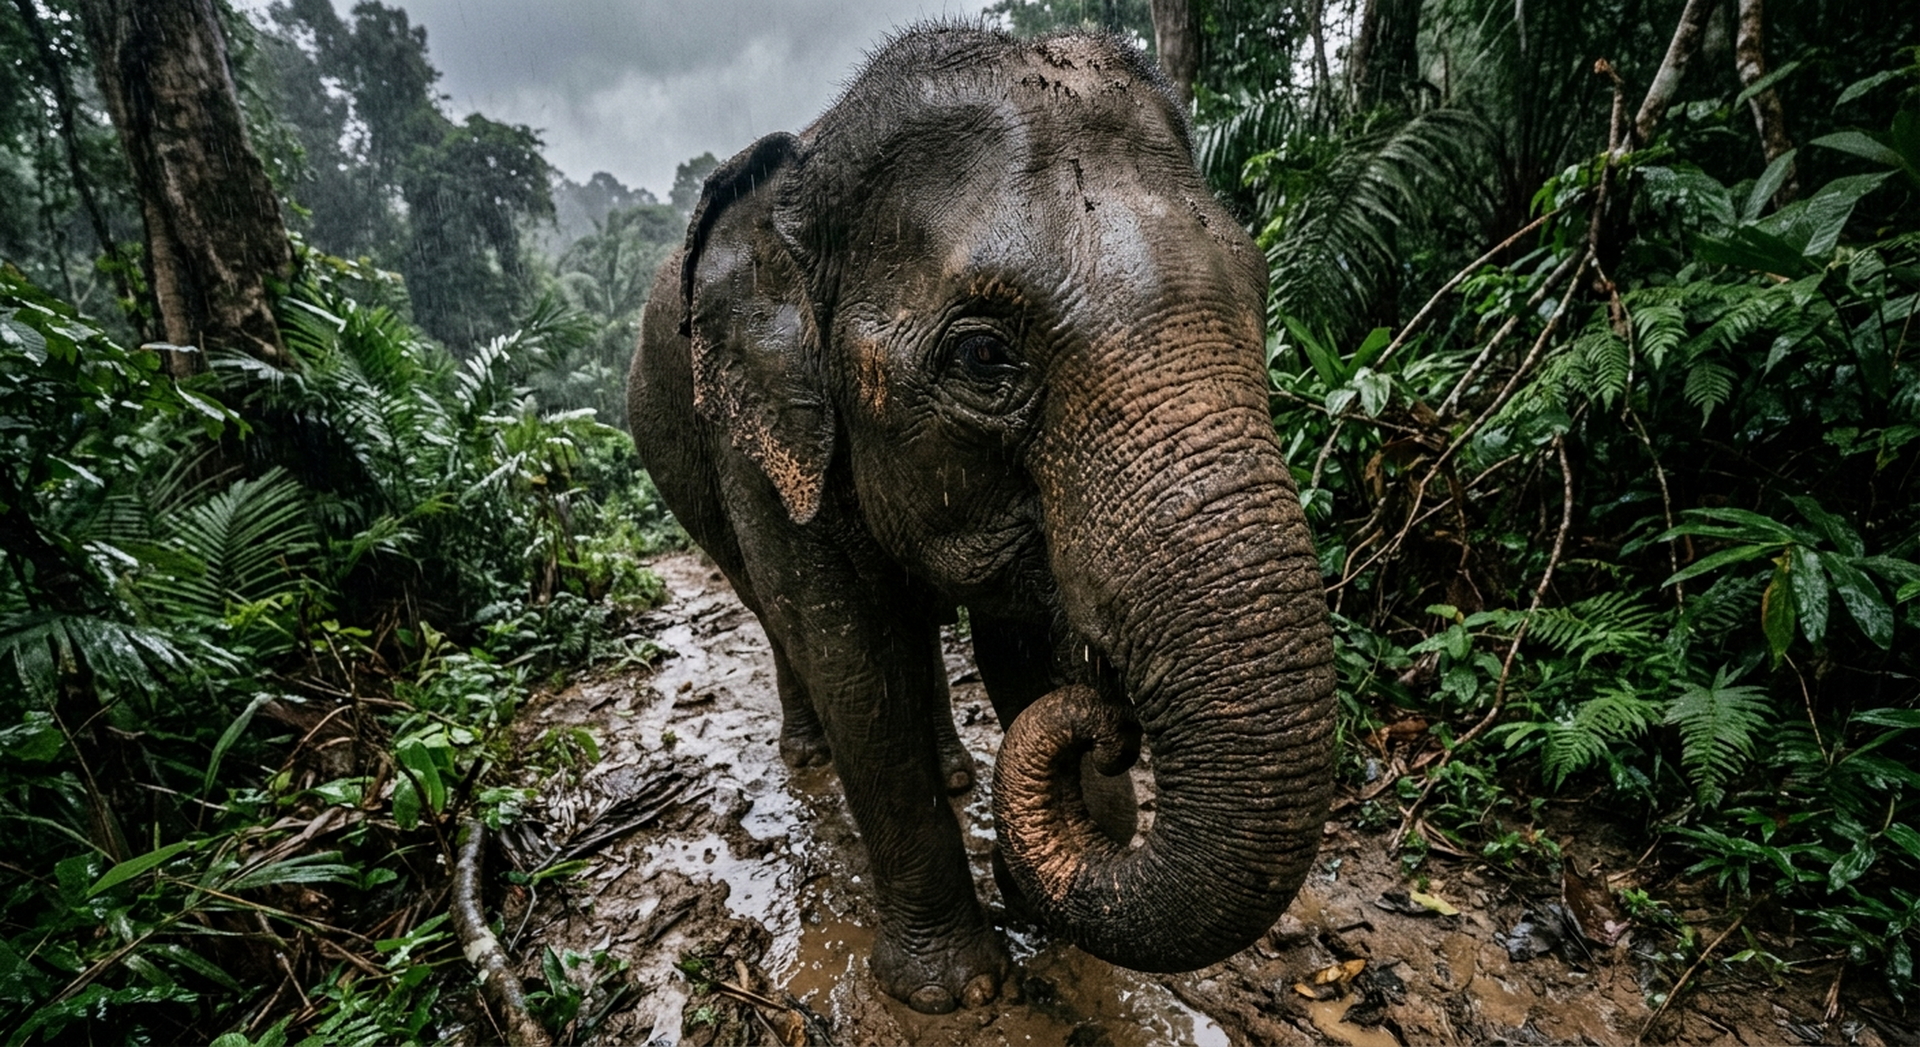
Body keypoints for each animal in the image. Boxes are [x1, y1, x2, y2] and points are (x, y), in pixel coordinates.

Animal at [626, 22, 1334, 1015]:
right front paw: (953, 992)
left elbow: (1020, 645)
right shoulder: (762, 438)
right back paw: (809, 758)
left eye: (1261, 299)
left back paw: (960, 770)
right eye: (983, 356)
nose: (1112, 723)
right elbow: (853, 662)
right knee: (780, 622)